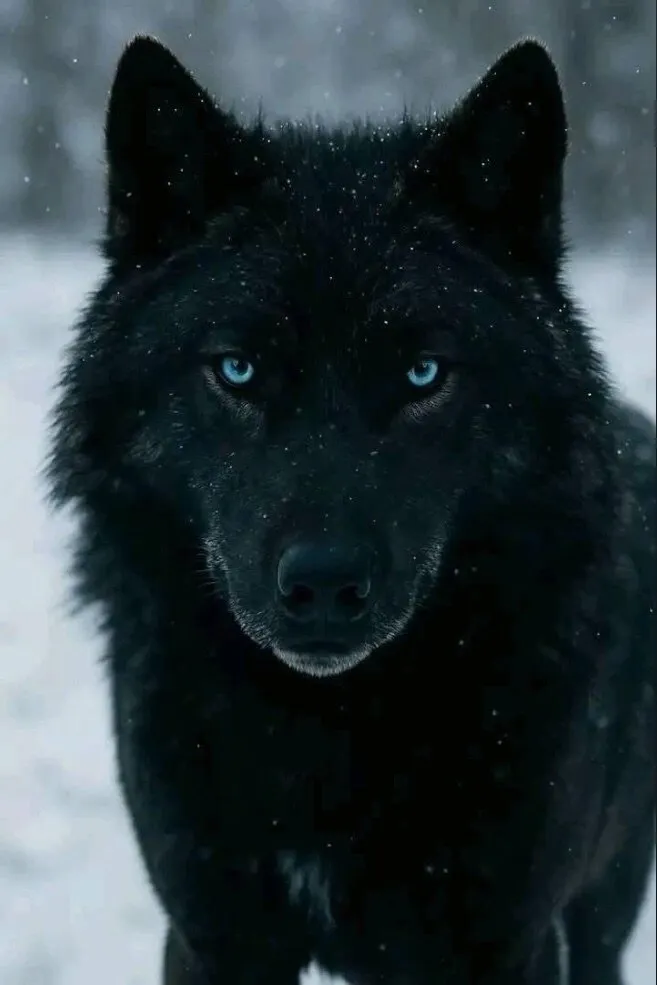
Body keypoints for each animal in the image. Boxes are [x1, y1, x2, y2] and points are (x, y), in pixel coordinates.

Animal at [48, 35, 655, 985]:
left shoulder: (511, 942)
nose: (324, 584)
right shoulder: (212, 935)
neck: (327, 728)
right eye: (237, 369)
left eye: (421, 374)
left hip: (598, 918)